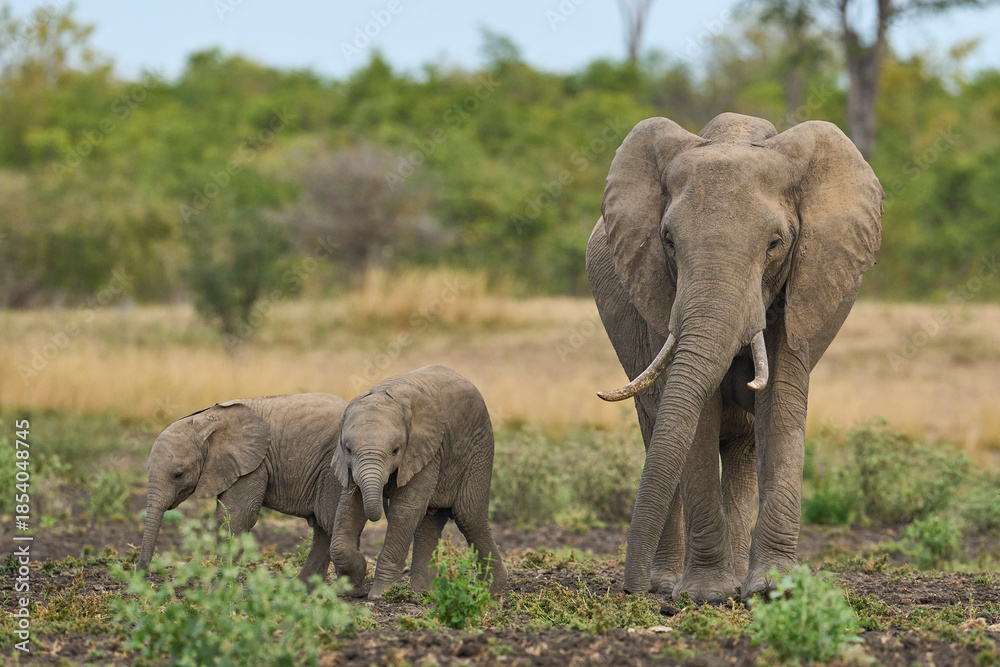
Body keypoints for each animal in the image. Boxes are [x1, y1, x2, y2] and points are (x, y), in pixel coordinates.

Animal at [137, 393, 347, 587]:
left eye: (178, 474)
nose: (142, 576)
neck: (206, 421)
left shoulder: (254, 464)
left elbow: (237, 516)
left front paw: (219, 591)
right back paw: (300, 588)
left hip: (331, 468)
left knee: (327, 521)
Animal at [330, 365, 508, 599]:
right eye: (348, 449)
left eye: (396, 450)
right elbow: (350, 507)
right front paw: (353, 584)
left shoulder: (426, 449)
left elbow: (404, 510)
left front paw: (380, 595)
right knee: (429, 522)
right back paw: (423, 593)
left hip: (480, 447)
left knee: (469, 515)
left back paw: (492, 590)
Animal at [586, 113, 883, 601]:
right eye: (668, 241)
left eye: (775, 244)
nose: (629, 591)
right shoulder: (658, 291)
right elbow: (697, 417)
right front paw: (703, 595)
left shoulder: (803, 286)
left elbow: (780, 406)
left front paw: (772, 590)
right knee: (656, 426)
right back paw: (667, 584)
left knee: (744, 444)